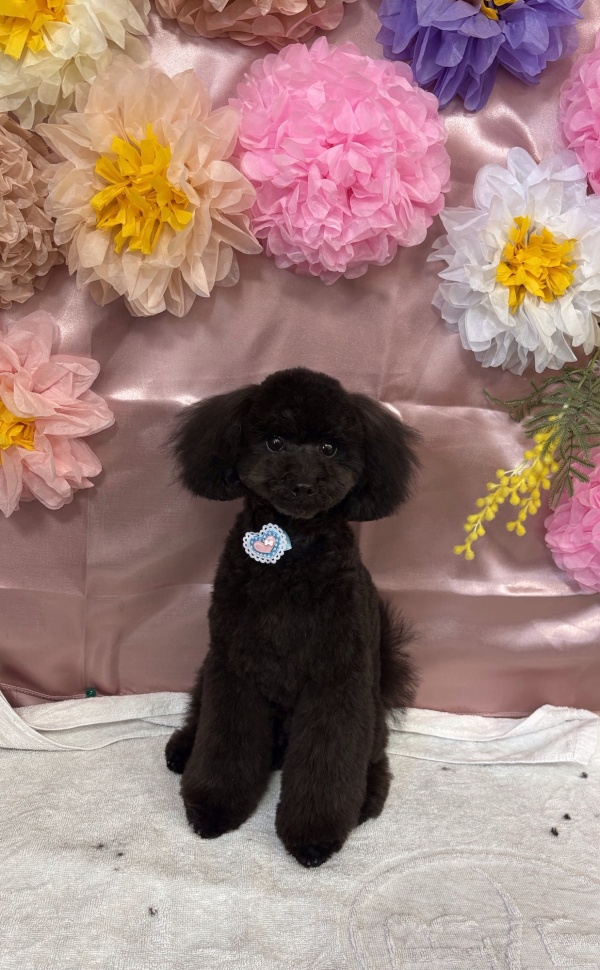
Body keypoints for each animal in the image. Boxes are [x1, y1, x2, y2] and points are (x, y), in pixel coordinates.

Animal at [166, 367, 419, 867]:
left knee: (374, 755)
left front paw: (314, 834)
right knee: (200, 714)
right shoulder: (233, 666)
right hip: (208, 672)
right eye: (275, 441)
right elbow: (224, 739)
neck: (290, 552)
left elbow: (328, 759)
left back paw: (368, 797)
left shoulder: (337, 679)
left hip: (371, 703)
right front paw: (213, 807)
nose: (303, 486)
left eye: (329, 448)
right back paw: (183, 749)